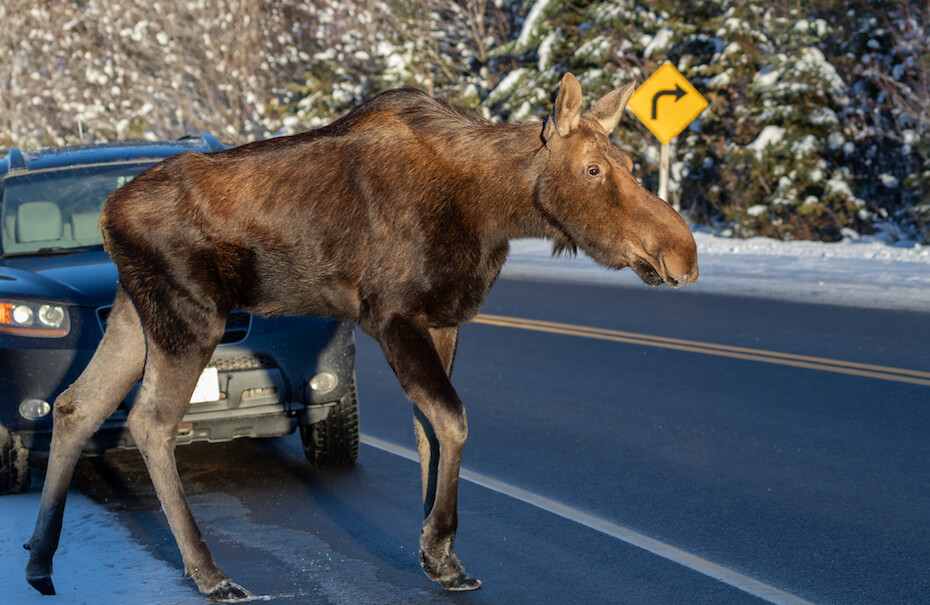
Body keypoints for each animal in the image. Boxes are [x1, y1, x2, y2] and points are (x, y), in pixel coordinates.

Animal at [25, 73, 698, 600]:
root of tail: (107, 214)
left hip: (136, 314)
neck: (494, 212)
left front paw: (440, 555)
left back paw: (40, 559)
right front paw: (438, 550)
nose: (683, 253)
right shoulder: (391, 315)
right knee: (151, 422)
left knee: (77, 404)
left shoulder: (442, 320)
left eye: (630, 165)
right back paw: (209, 573)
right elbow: (452, 420)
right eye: (592, 168)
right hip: (189, 316)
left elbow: (430, 432)